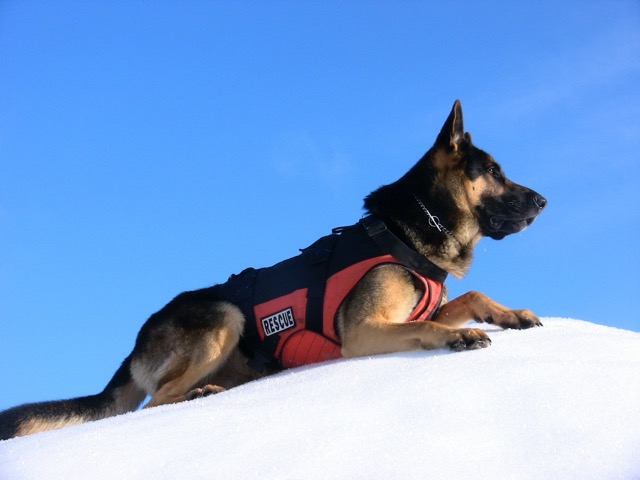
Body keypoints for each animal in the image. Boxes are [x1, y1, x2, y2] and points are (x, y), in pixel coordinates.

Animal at [1, 100, 552, 438]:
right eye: (495, 172)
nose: (544, 201)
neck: (406, 230)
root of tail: (137, 341)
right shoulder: (363, 332)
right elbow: (429, 326)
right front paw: (457, 336)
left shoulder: (426, 304)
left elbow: (471, 298)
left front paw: (511, 314)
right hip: (223, 317)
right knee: (156, 402)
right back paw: (200, 392)